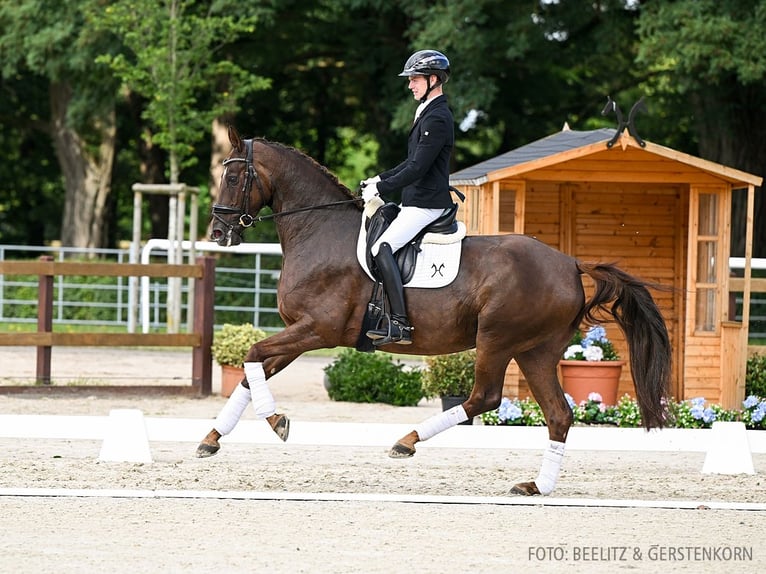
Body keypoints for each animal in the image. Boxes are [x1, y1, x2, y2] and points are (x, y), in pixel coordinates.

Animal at [198, 125, 672, 496]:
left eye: (235, 176)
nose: (218, 232)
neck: (319, 231)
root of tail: (571, 264)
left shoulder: (318, 329)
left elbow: (252, 356)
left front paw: (277, 421)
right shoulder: (301, 333)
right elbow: (251, 372)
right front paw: (211, 438)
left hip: (496, 339)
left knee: (485, 397)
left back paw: (406, 441)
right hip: (535, 350)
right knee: (558, 414)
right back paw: (536, 486)